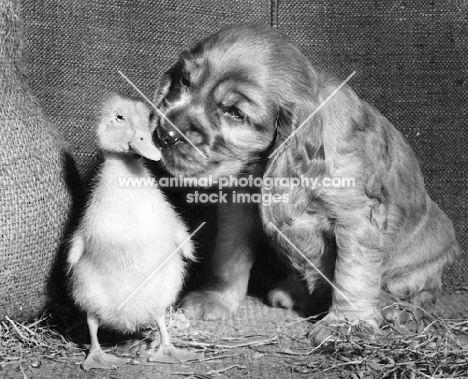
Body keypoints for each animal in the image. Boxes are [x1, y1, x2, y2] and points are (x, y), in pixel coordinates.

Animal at [152, 25, 458, 342]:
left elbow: (352, 274)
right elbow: (229, 256)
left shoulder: (358, 219)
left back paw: (394, 311)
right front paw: (217, 299)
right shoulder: (237, 210)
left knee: (422, 295)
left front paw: (345, 324)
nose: (164, 134)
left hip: (419, 269)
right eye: (184, 82)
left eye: (235, 113)